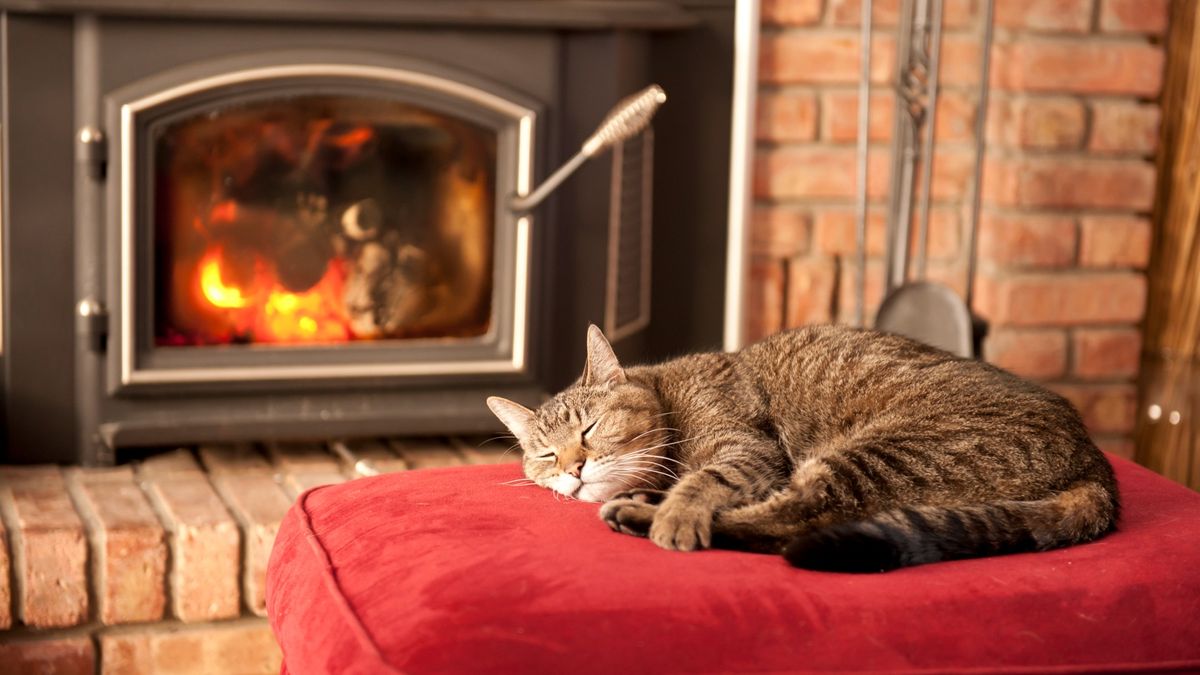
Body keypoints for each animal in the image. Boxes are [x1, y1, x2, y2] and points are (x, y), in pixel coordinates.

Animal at [482, 324, 1118, 569]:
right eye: (546, 455)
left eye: (589, 430)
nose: (573, 468)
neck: (668, 394)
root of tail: (1095, 459)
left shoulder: (746, 450)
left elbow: (704, 482)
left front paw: (675, 512)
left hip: (875, 454)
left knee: (789, 522)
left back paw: (643, 516)